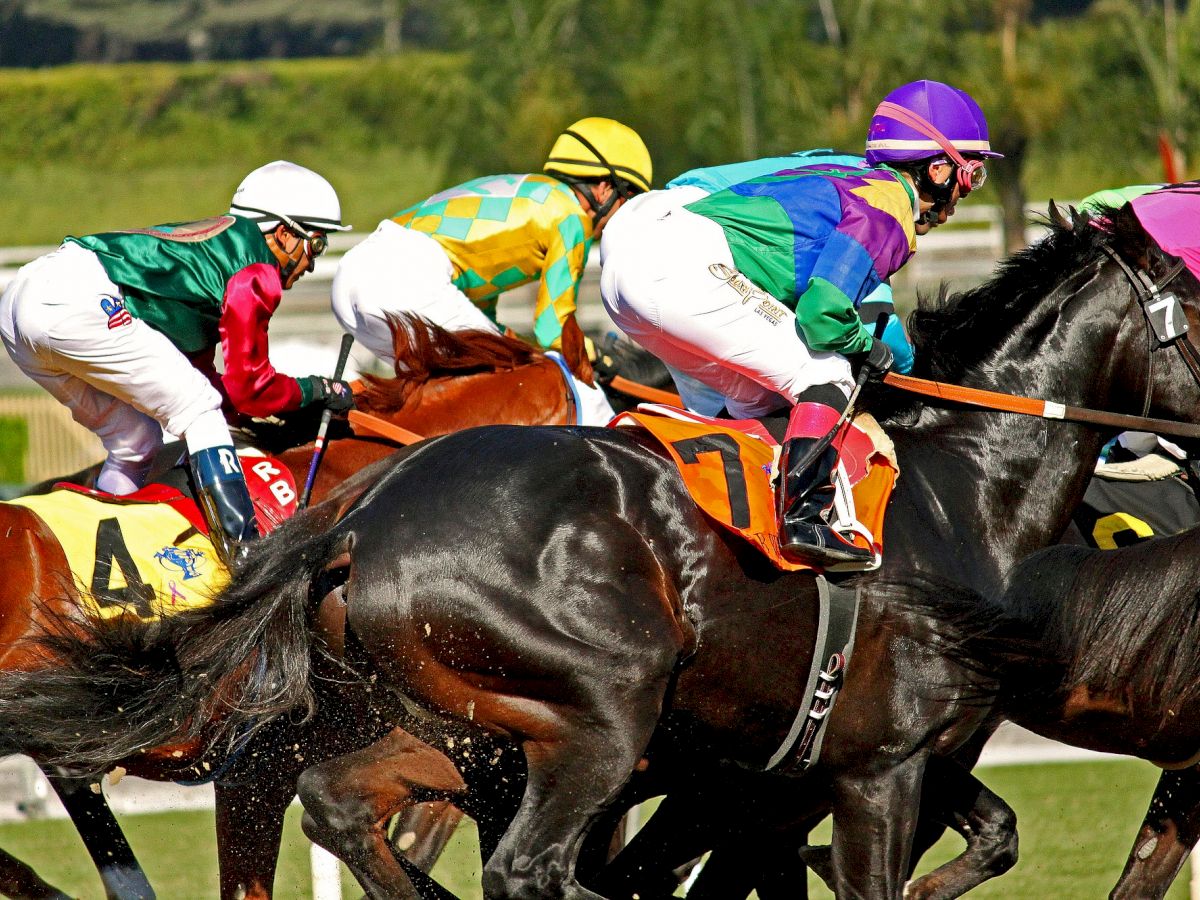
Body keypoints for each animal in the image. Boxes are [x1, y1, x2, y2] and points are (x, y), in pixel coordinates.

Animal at [2, 204, 1200, 900]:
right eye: (1198, 297)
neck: (962, 489)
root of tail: (356, 523)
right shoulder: (876, 765)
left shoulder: (855, 758)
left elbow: (992, 833)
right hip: (599, 708)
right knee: (528, 868)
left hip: (473, 731)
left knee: (378, 818)